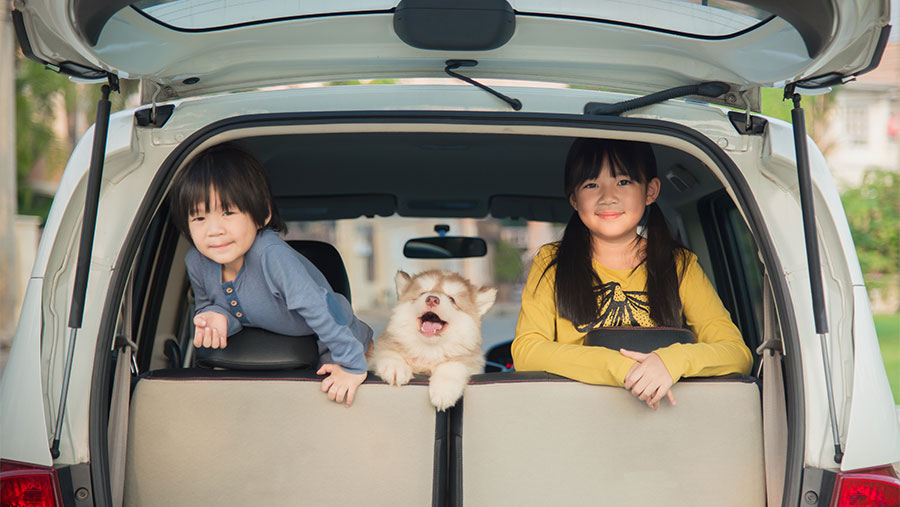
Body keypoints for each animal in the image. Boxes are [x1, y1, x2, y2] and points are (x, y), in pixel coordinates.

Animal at [372, 272, 500, 410]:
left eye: (452, 299)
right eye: (423, 293)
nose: (432, 299)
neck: (429, 350)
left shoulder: (469, 361)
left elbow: (452, 366)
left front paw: (444, 390)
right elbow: (388, 352)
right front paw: (395, 368)